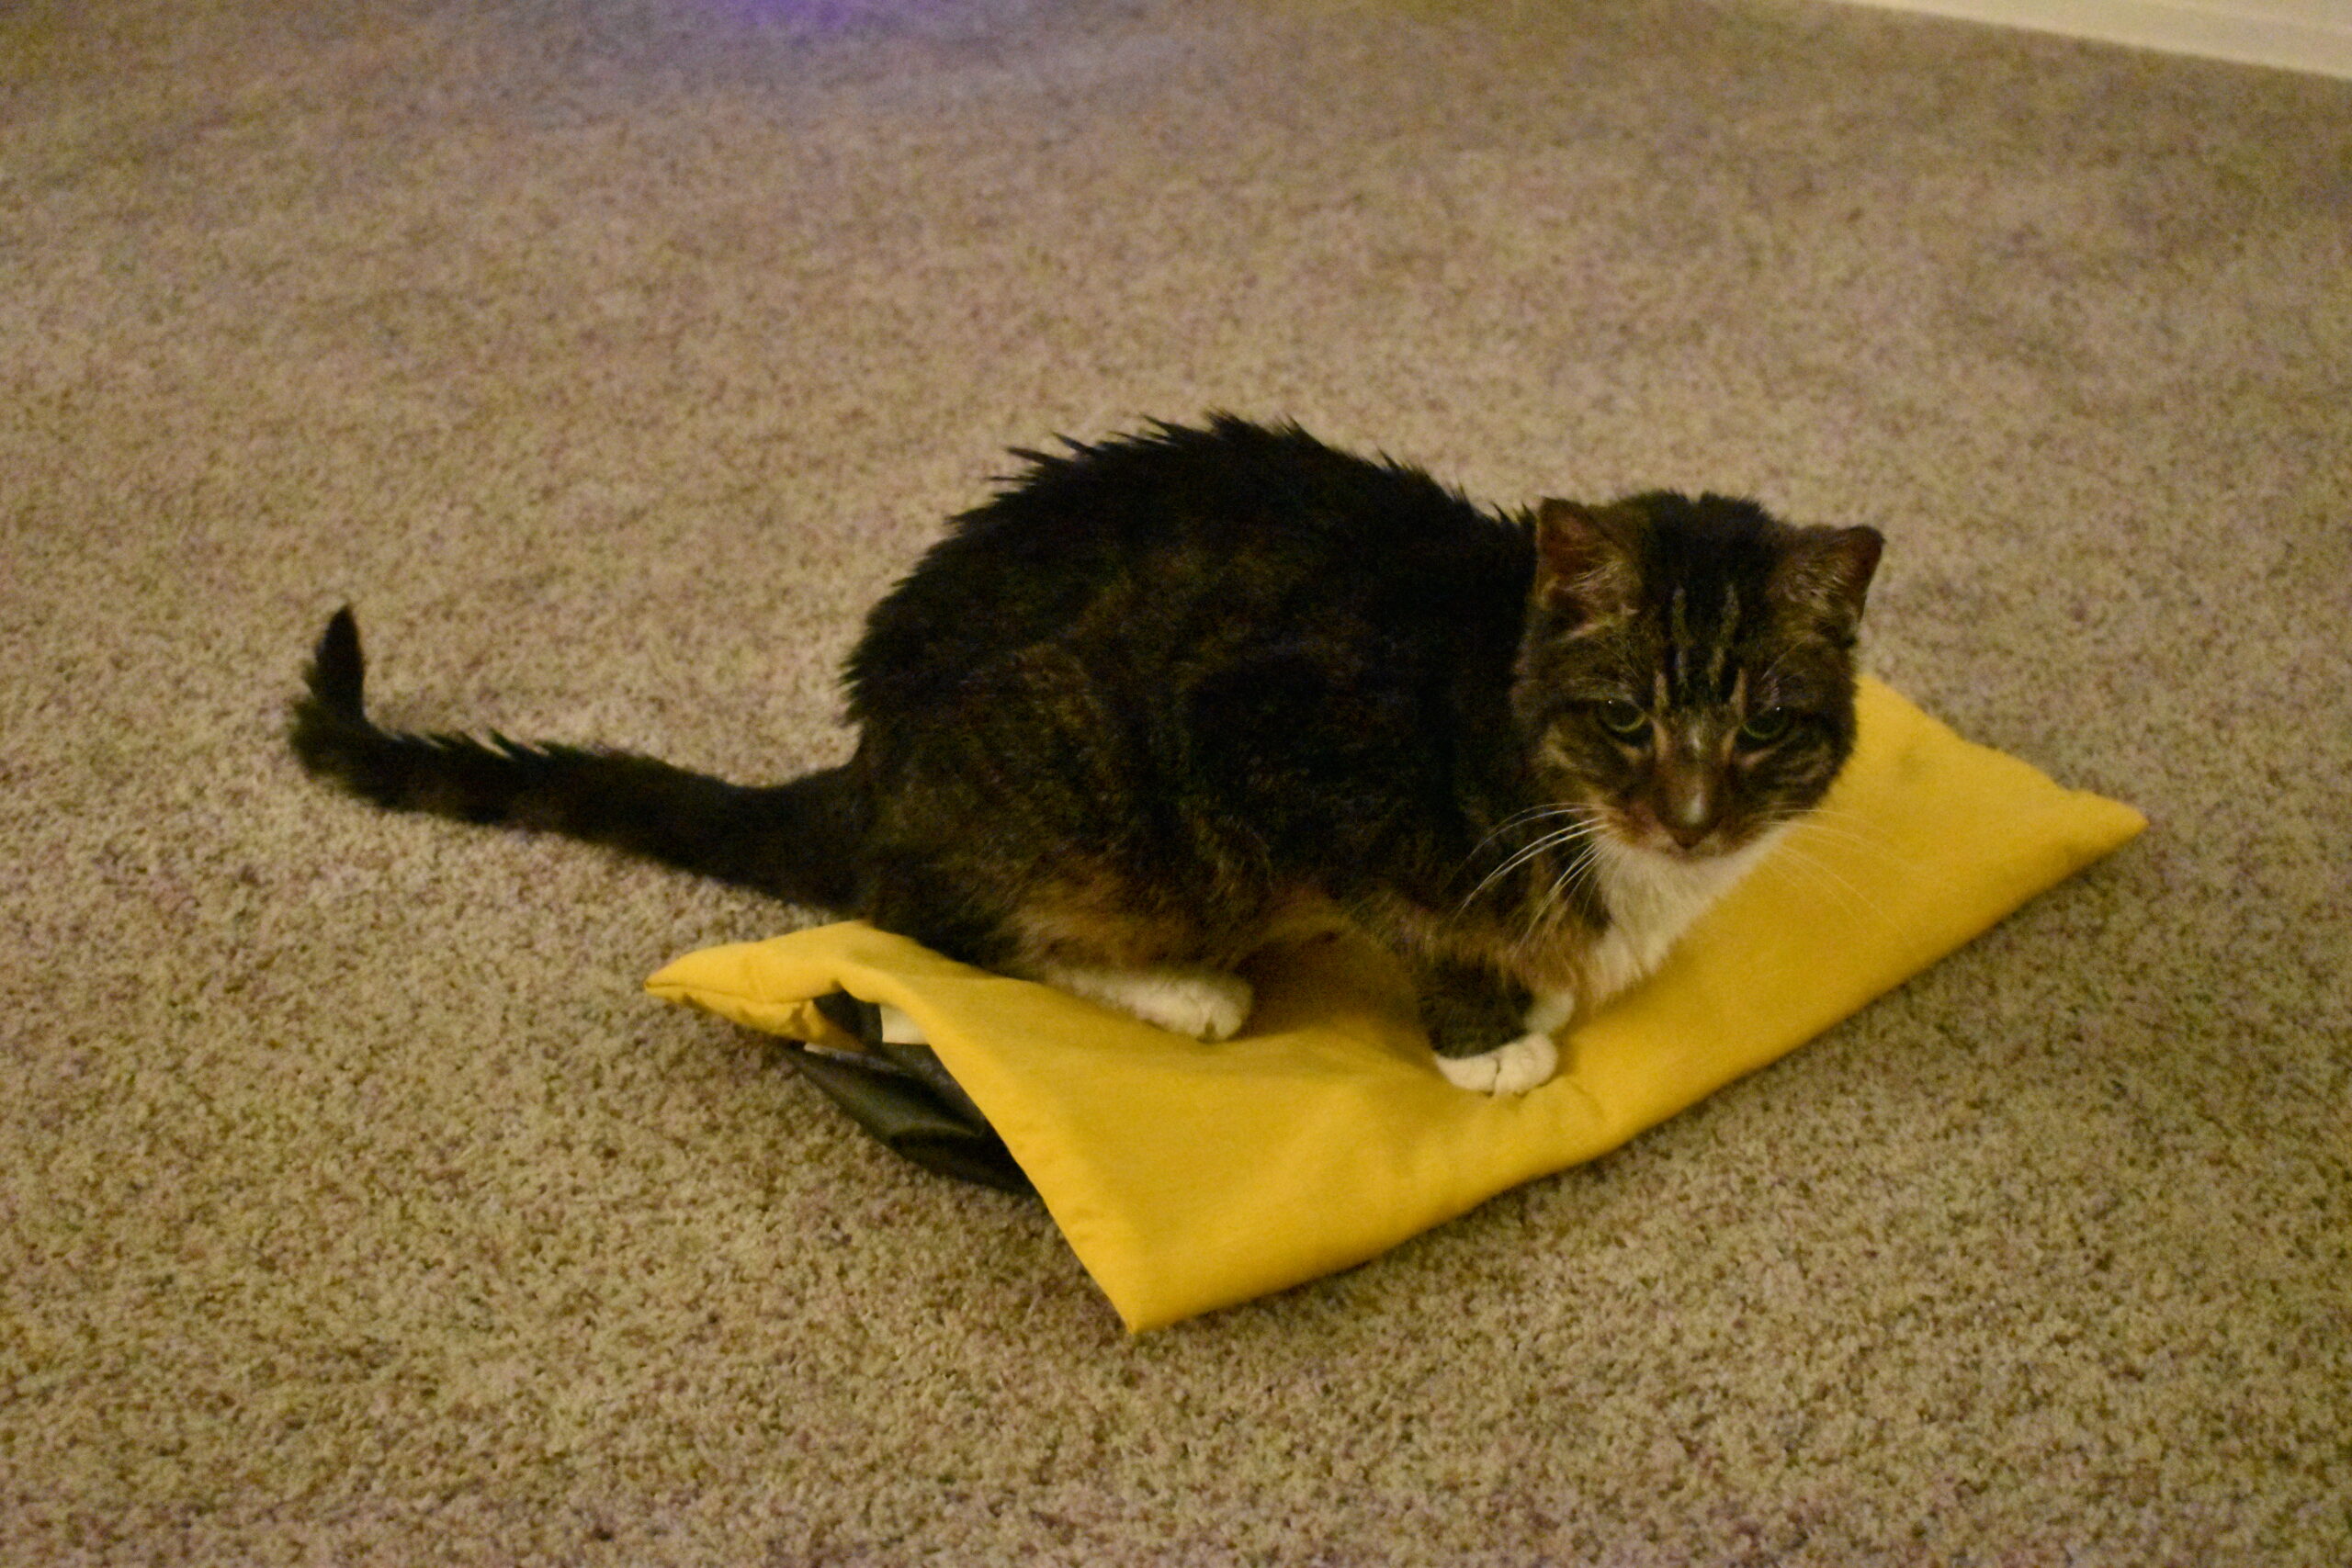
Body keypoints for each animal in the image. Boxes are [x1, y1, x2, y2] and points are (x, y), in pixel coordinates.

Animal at [288, 423, 1871, 1100]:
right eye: (1627, 717)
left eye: (1761, 724)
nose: (1689, 814)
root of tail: (866, 763)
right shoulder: (1282, 750)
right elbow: (1425, 923)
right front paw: (1492, 1036)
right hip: (1104, 789)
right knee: (943, 926)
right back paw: (1184, 987)